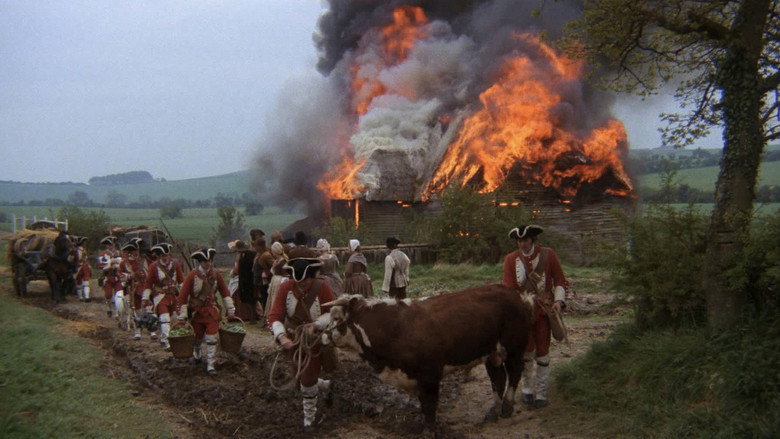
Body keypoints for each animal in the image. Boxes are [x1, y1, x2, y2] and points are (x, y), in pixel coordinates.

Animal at [321, 284, 535, 431]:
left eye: (336, 318)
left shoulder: (430, 375)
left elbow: (430, 405)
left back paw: (507, 407)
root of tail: (515, 294)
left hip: (514, 348)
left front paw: (430, 429)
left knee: (515, 373)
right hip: (491, 353)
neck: (395, 327)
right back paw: (494, 411)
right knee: (498, 378)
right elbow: (423, 404)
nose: (322, 334)